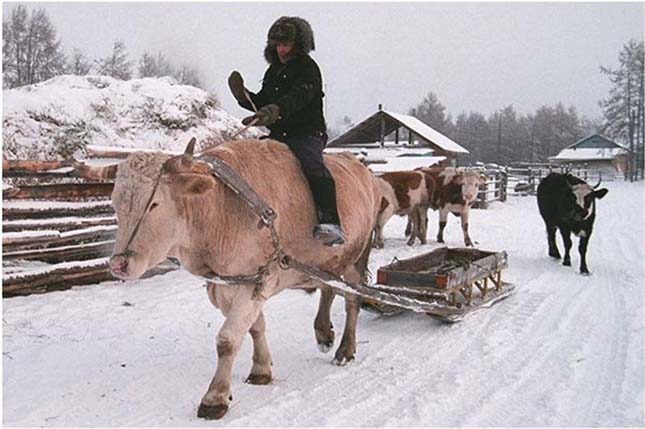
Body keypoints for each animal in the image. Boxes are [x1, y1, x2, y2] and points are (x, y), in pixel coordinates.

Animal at [74, 139, 382, 420]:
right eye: (115, 204)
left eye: (154, 204)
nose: (118, 264)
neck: (220, 209)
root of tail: (364, 171)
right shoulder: (225, 285)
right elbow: (254, 327)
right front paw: (261, 368)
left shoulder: (259, 280)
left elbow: (227, 339)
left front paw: (215, 398)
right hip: (329, 262)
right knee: (329, 288)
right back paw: (323, 333)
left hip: (356, 258)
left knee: (352, 301)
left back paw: (345, 349)